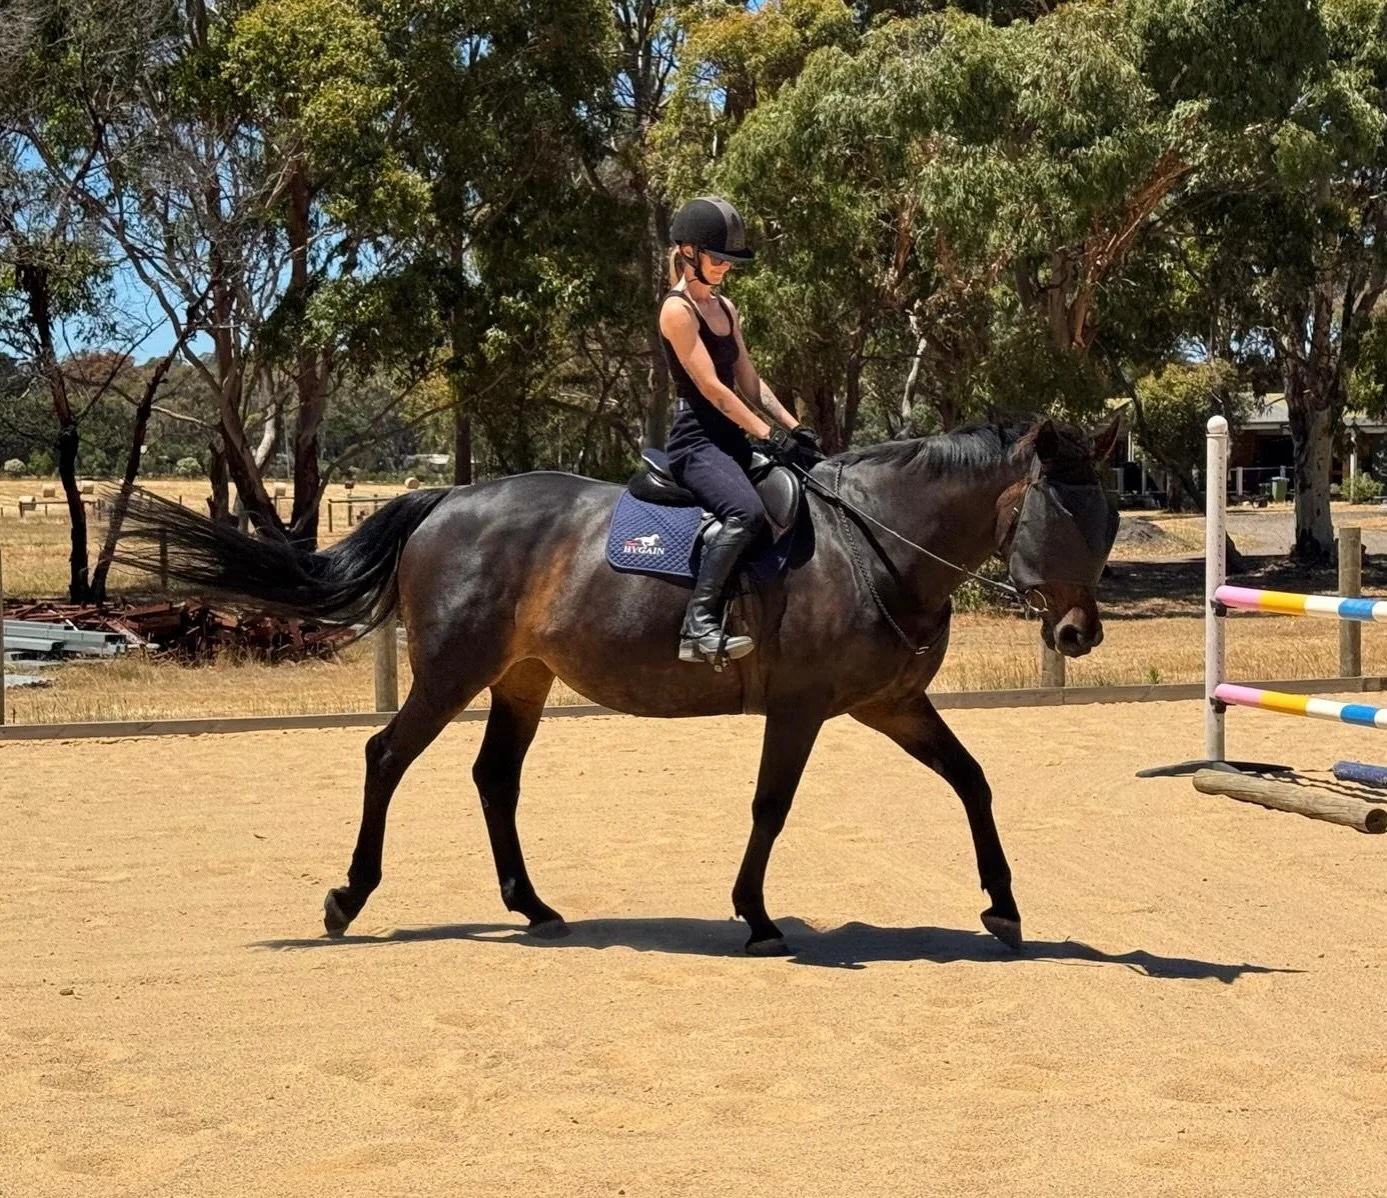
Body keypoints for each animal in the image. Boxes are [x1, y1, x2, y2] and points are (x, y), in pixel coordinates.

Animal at [117, 416, 1121, 955]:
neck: (872, 540)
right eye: (1060, 517)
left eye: (1109, 518)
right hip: (452, 672)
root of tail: (447, 501)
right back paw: (347, 899)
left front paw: (1003, 907)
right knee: (386, 756)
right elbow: (770, 807)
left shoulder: (892, 705)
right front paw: (756, 917)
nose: (1078, 634)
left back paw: (533, 907)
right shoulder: (801, 707)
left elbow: (972, 782)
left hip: (520, 679)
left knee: (493, 779)